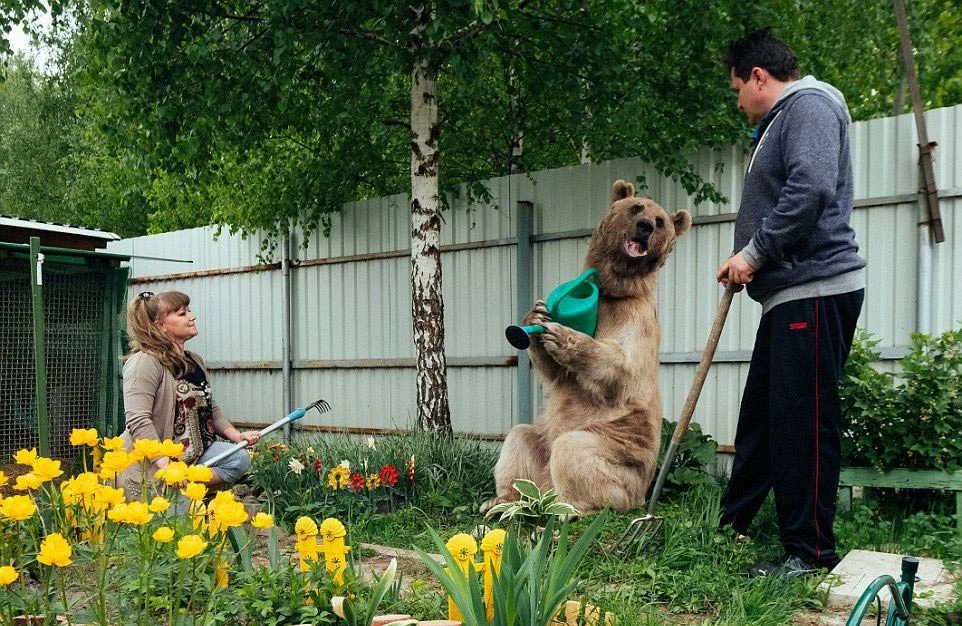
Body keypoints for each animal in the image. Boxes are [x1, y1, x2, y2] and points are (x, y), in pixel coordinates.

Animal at [480, 179, 688, 512]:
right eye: (636, 207)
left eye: (660, 221)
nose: (645, 227)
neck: (612, 291)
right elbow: (555, 373)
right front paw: (536, 315)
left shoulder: (635, 318)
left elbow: (622, 364)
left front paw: (564, 335)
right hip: (543, 441)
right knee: (519, 439)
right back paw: (501, 500)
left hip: (618, 455)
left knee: (574, 451)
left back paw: (569, 509)